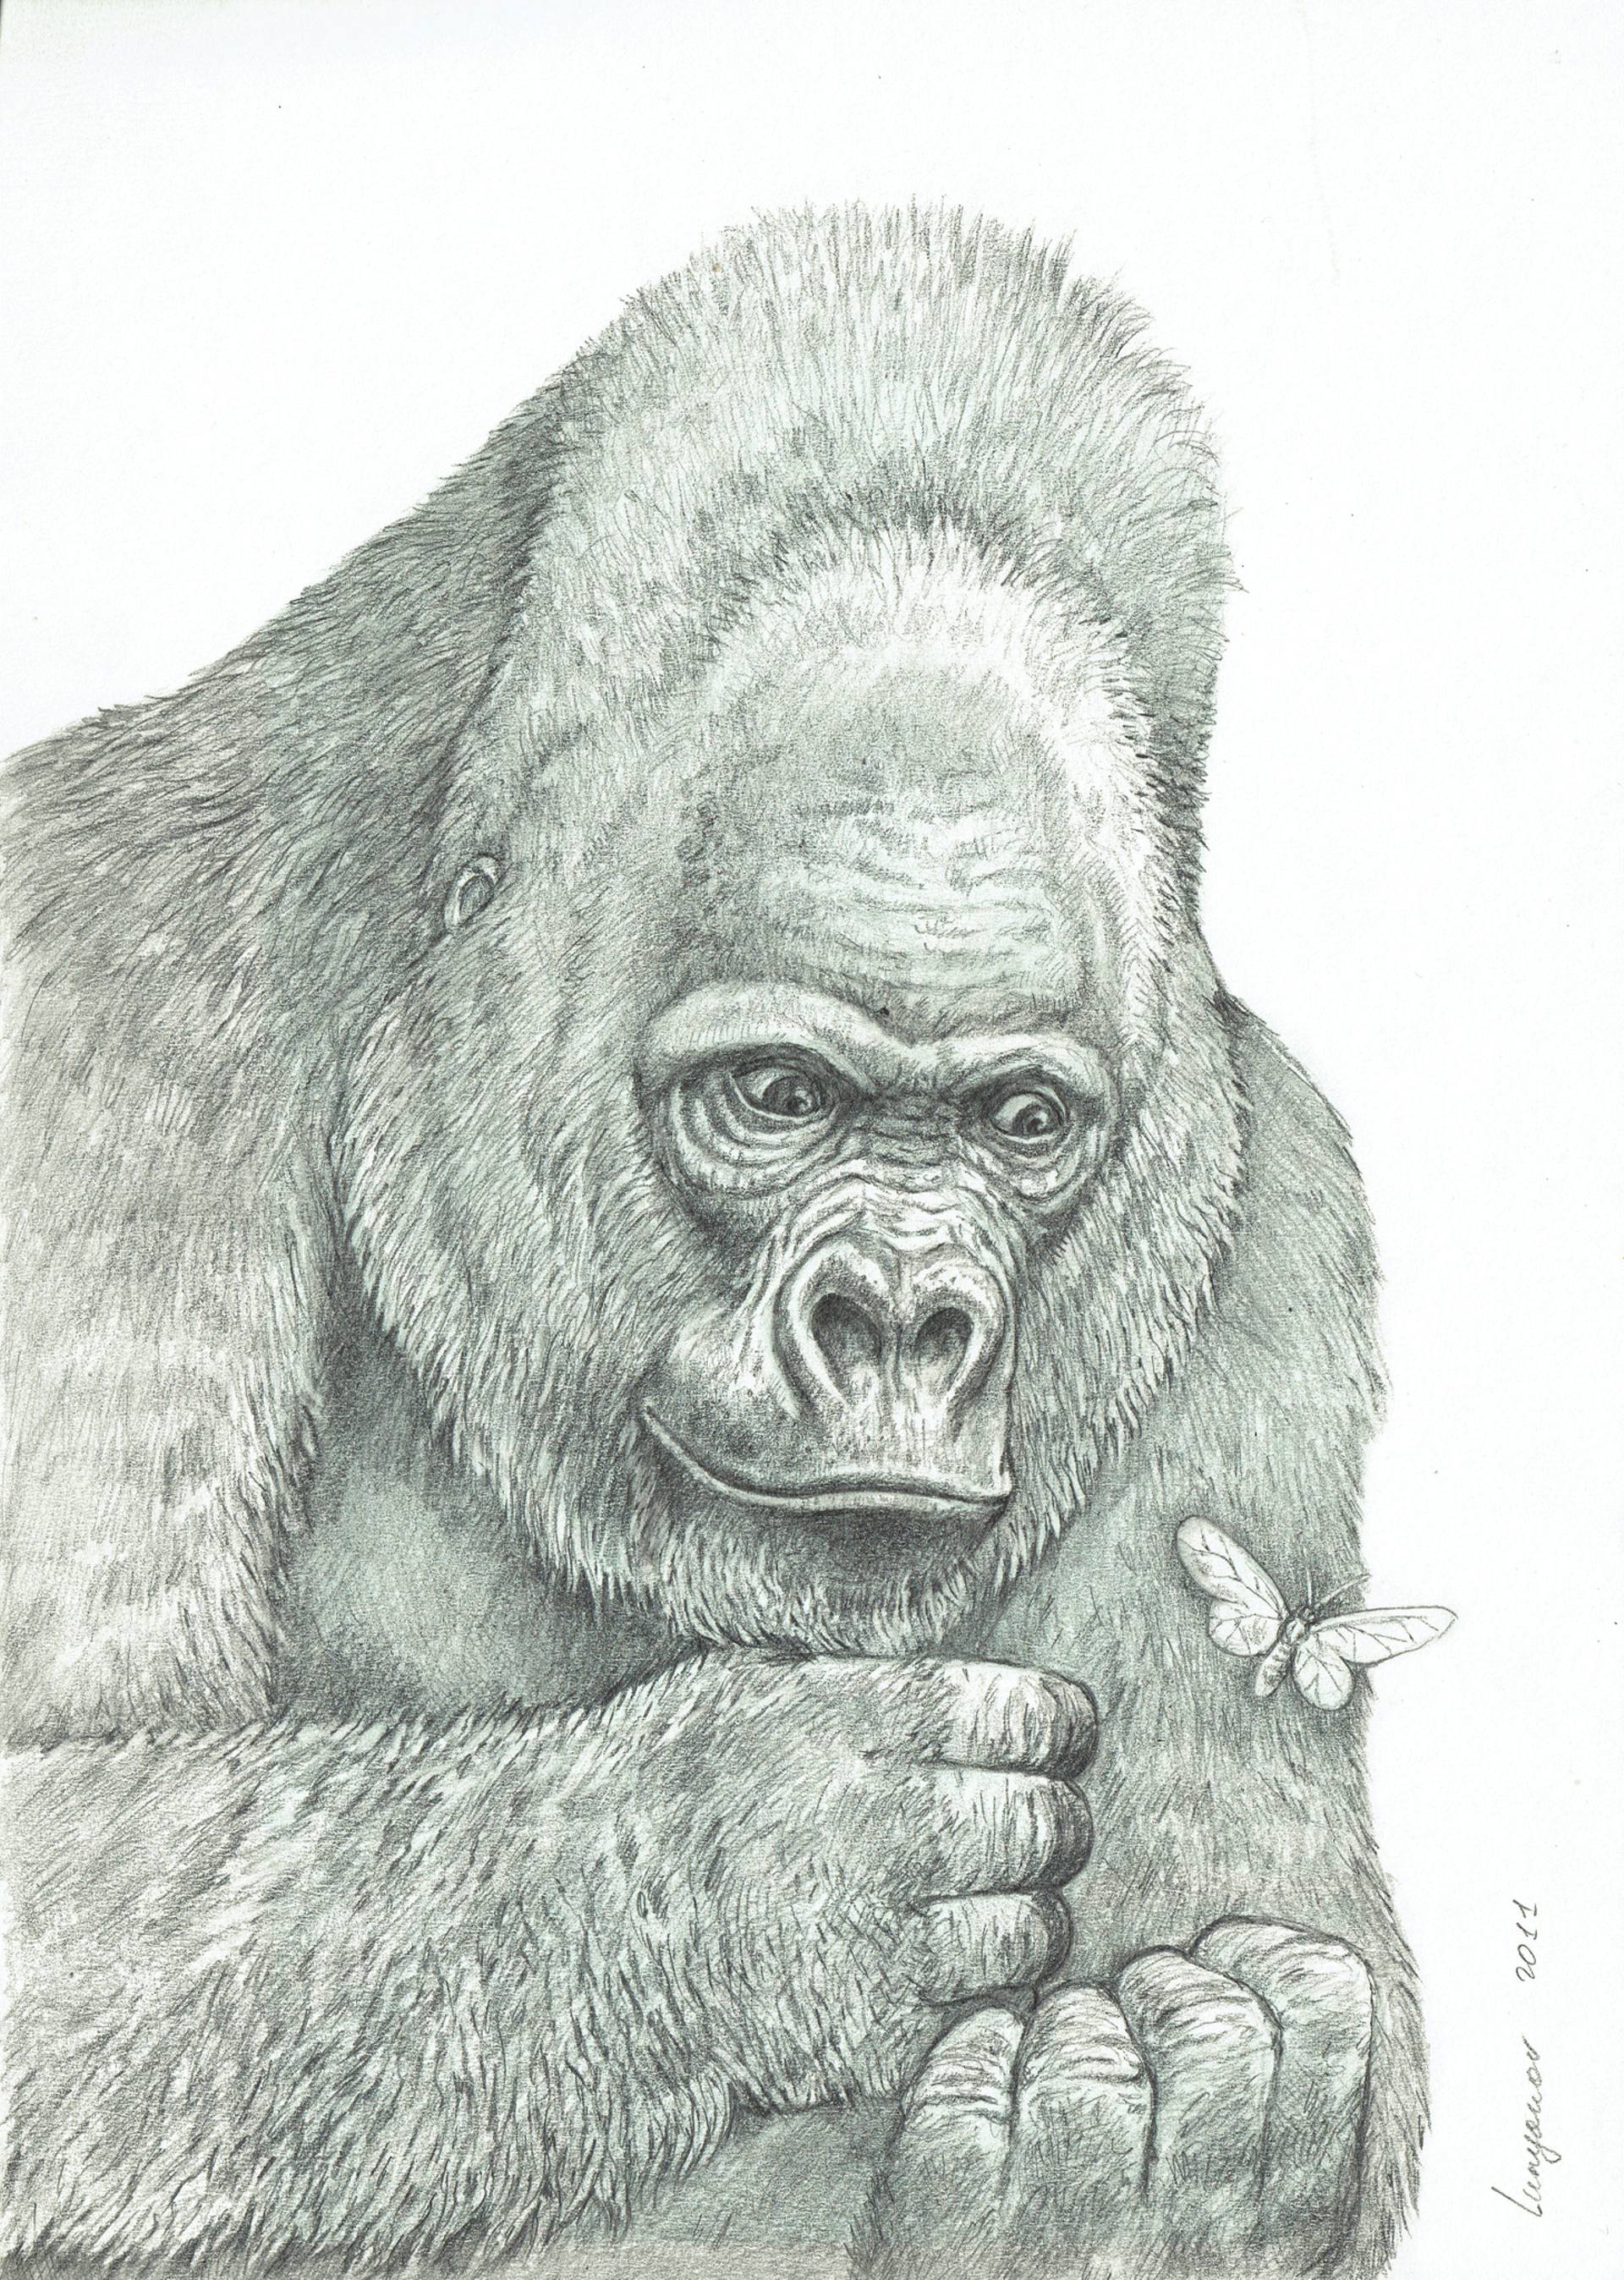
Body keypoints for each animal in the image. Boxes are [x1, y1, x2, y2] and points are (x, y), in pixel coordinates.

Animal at [1, 204, 1424, 2276]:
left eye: (1020, 1123)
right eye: (777, 1096)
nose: (903, 1314)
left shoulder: (1267, 1209)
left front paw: (1158, 2177)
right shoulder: (100, 1029)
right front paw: (745, 1856)